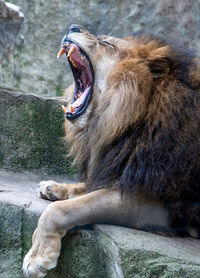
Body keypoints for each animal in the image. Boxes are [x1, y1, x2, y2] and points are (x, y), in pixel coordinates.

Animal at [21, 25, 200, 276]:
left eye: (106, 43)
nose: (73, 27)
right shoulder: (117, 167)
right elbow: (87, 186)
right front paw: (55, 187)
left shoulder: (147, 199)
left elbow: (61, 210)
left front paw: (38, 257)